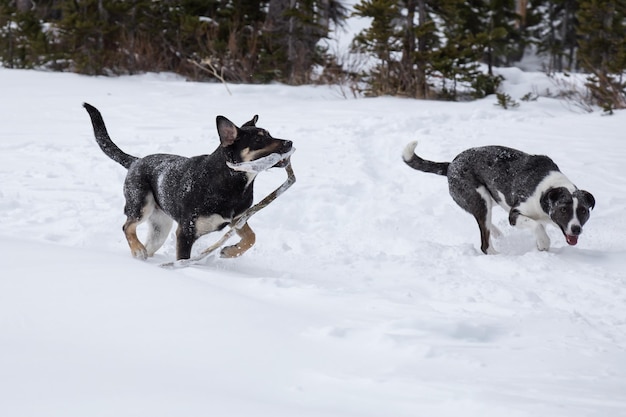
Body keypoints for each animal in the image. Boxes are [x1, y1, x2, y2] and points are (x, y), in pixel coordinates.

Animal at [82, 103, 292, 260]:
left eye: (269, 134)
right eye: (259, 140)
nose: (290, 142)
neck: (229, 180)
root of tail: (135, 161)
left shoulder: (238, 219)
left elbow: (251, 237)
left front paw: (230, 251)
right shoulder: (185, 232)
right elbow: (183, 259)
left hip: (160, 228)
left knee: (148, 243)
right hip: (141, 205)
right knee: (127, 226)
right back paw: (138, 250)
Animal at [402, 141, 592, 254]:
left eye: (583, 211)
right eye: (563, 209)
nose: (576, 229)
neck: (545, 191)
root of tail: (451, 165)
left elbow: (539, 226)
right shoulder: (515, 215)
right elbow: (537, 225)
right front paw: (544, 242)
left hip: (486, 200)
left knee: (484, 222)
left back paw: (496, 232)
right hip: (480, 199)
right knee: (484, 243)